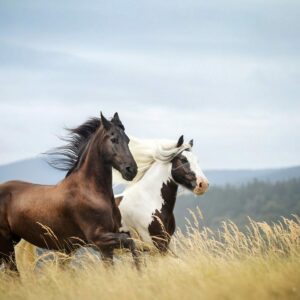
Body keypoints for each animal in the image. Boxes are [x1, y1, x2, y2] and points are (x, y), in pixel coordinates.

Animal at [0, 112, 138, 272]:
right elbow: (130, 242)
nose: (131, 170)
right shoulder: (98, 239)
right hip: (5, 244)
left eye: (127, 140)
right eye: (114, 139)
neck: (90, 191)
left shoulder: (107, 245)